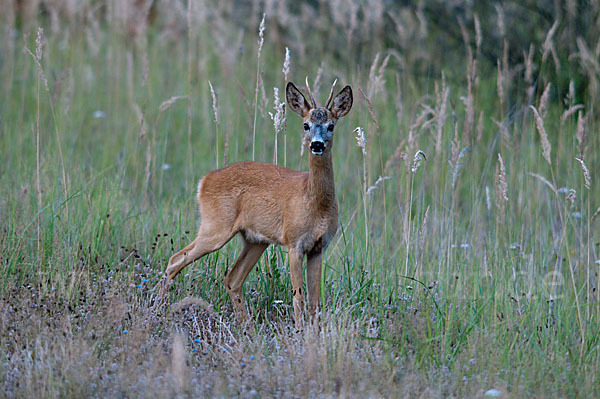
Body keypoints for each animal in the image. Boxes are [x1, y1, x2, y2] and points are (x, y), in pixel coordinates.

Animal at [162, 78, 354, 328]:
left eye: (331, 125)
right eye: (306, 125)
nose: (317, 145)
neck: (314, 203)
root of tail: (204, 181)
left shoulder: (318, 247)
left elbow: (314, 302)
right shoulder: (294, 242)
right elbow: (298, 297)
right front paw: (299, 331)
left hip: (254, 240)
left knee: (232, 279)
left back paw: (247, 327)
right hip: (215, 227)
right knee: (175, 259)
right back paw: (159, 308)